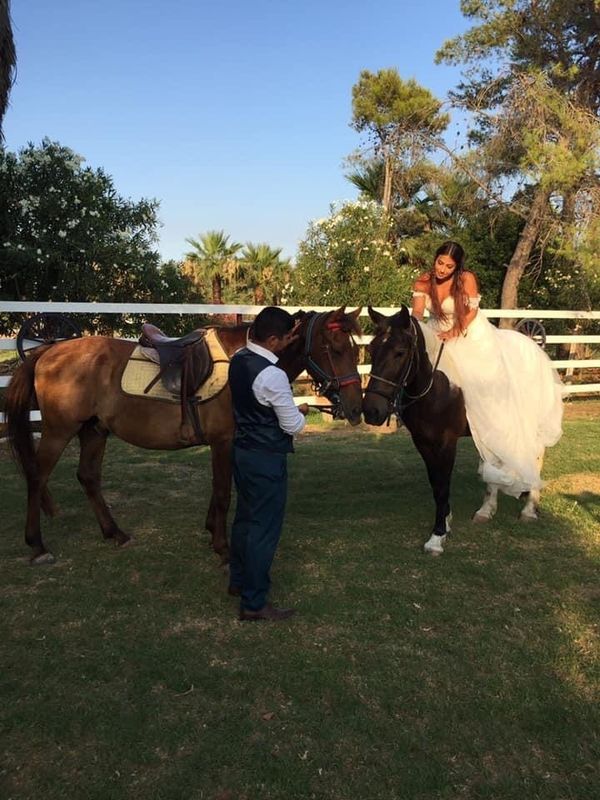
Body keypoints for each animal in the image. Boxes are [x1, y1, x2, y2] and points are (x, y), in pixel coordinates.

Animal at [5, 307, 363, 565]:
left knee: (88, 477)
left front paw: (211, 530)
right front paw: (222, 547)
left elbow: (219, 491)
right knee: (37, 477)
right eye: (334, 348)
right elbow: (223, 493)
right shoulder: (223, 442)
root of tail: (47, 351)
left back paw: (114, 532)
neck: (240, 359)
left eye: (355, 351)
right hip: (59, 430)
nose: (356, 407)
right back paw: (37, 545)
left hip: (94, 429)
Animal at [362, 305, 544, 555]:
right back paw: (486, 510)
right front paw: (446, 521)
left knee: (537, 459)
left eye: (399, 352)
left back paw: (529, 507)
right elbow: (435, 483)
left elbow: (442, 485)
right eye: (371, 349)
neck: (437, 386)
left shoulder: (446, 443)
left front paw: (437, 536)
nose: (371, 411)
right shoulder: (423, 442)